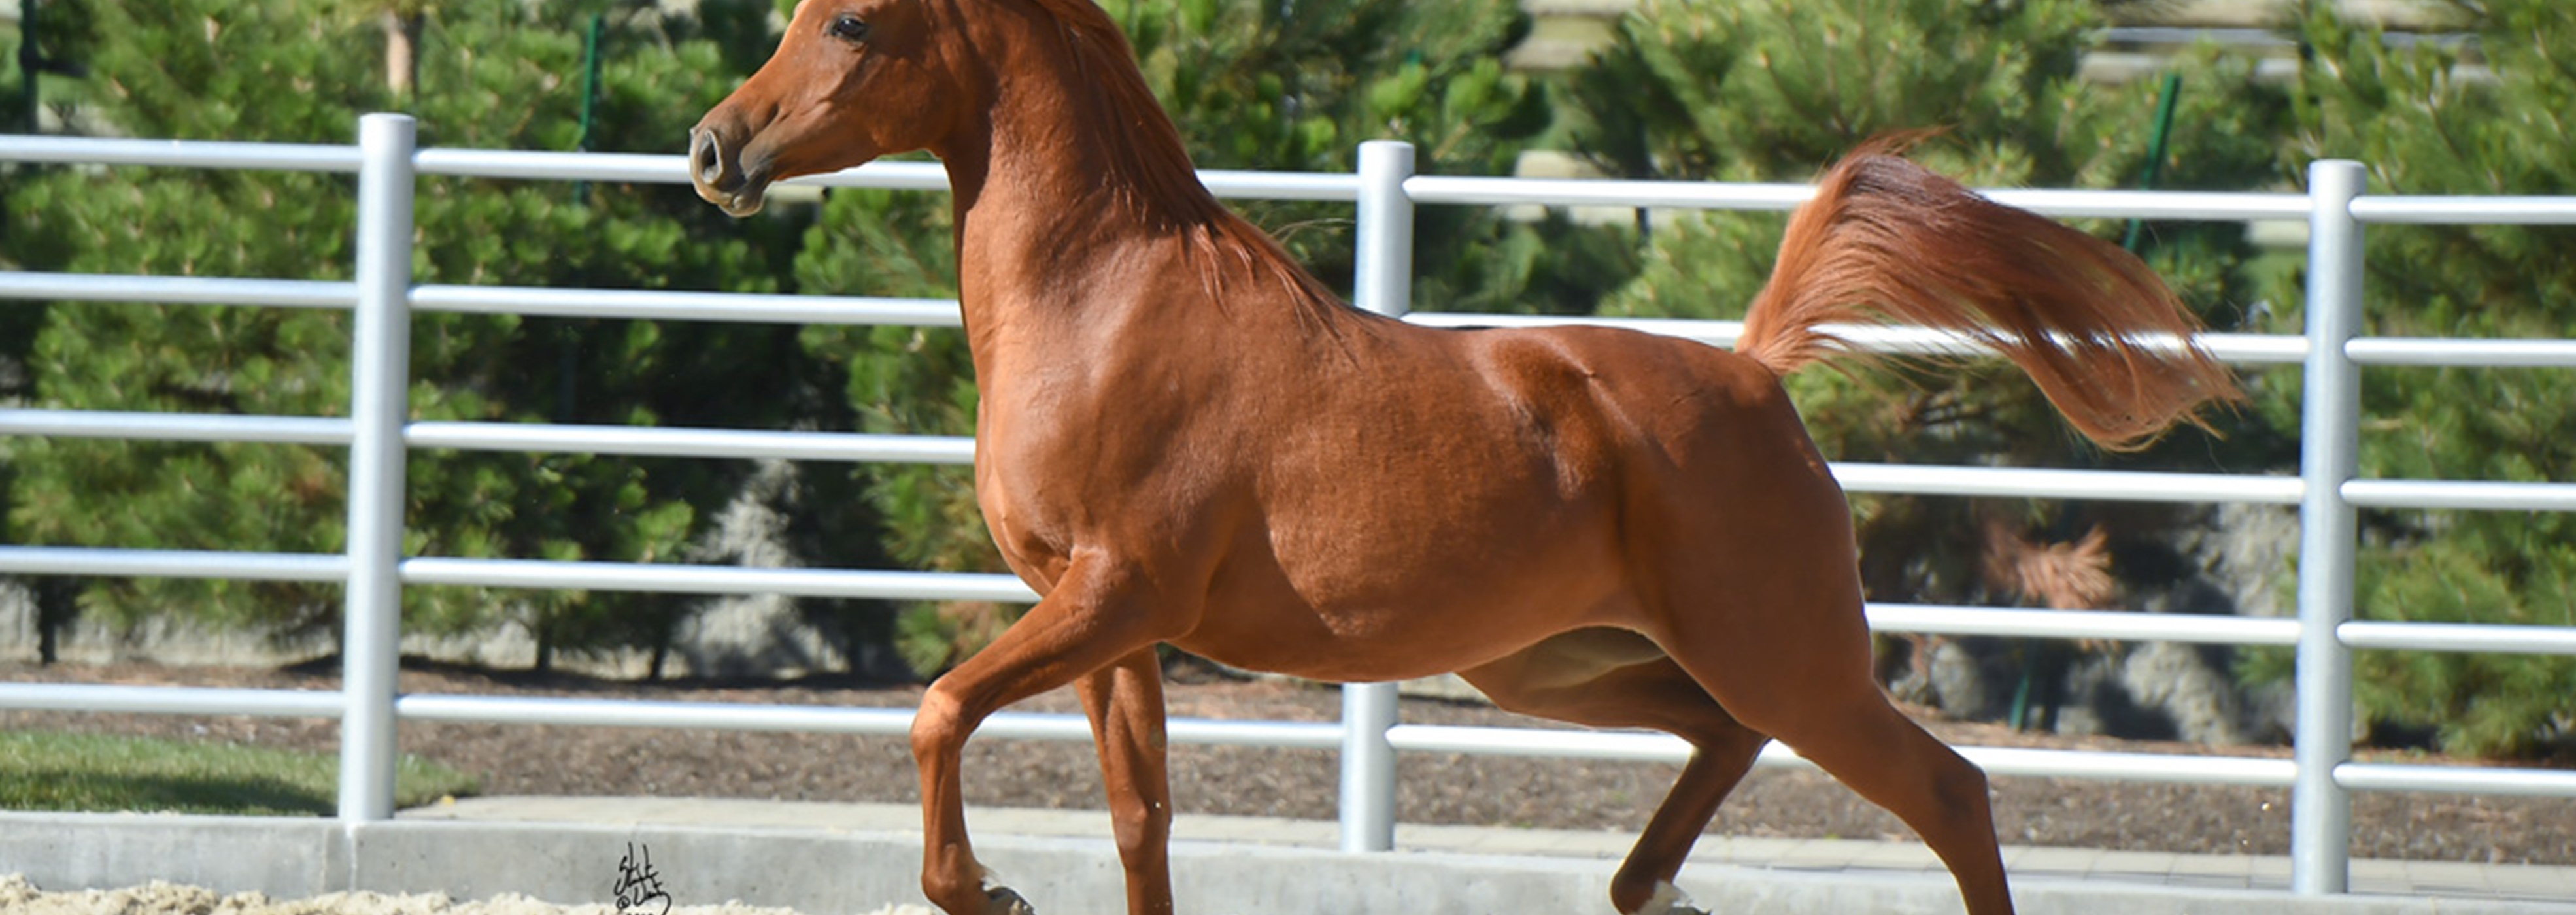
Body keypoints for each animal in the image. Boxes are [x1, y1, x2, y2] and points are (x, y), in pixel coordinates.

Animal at [688, 2, 2241, 913]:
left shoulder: (1118, 595)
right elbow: (1141, 819)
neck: (1103, 304)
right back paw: (1643, 888)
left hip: (1787, 661)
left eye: (852, 21)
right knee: (1721, 740)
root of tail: (1752, 370)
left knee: (1949, 792)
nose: (712, 151)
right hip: (1558, 667)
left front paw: (980, 887)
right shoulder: (1101, 626)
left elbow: (937, 710)